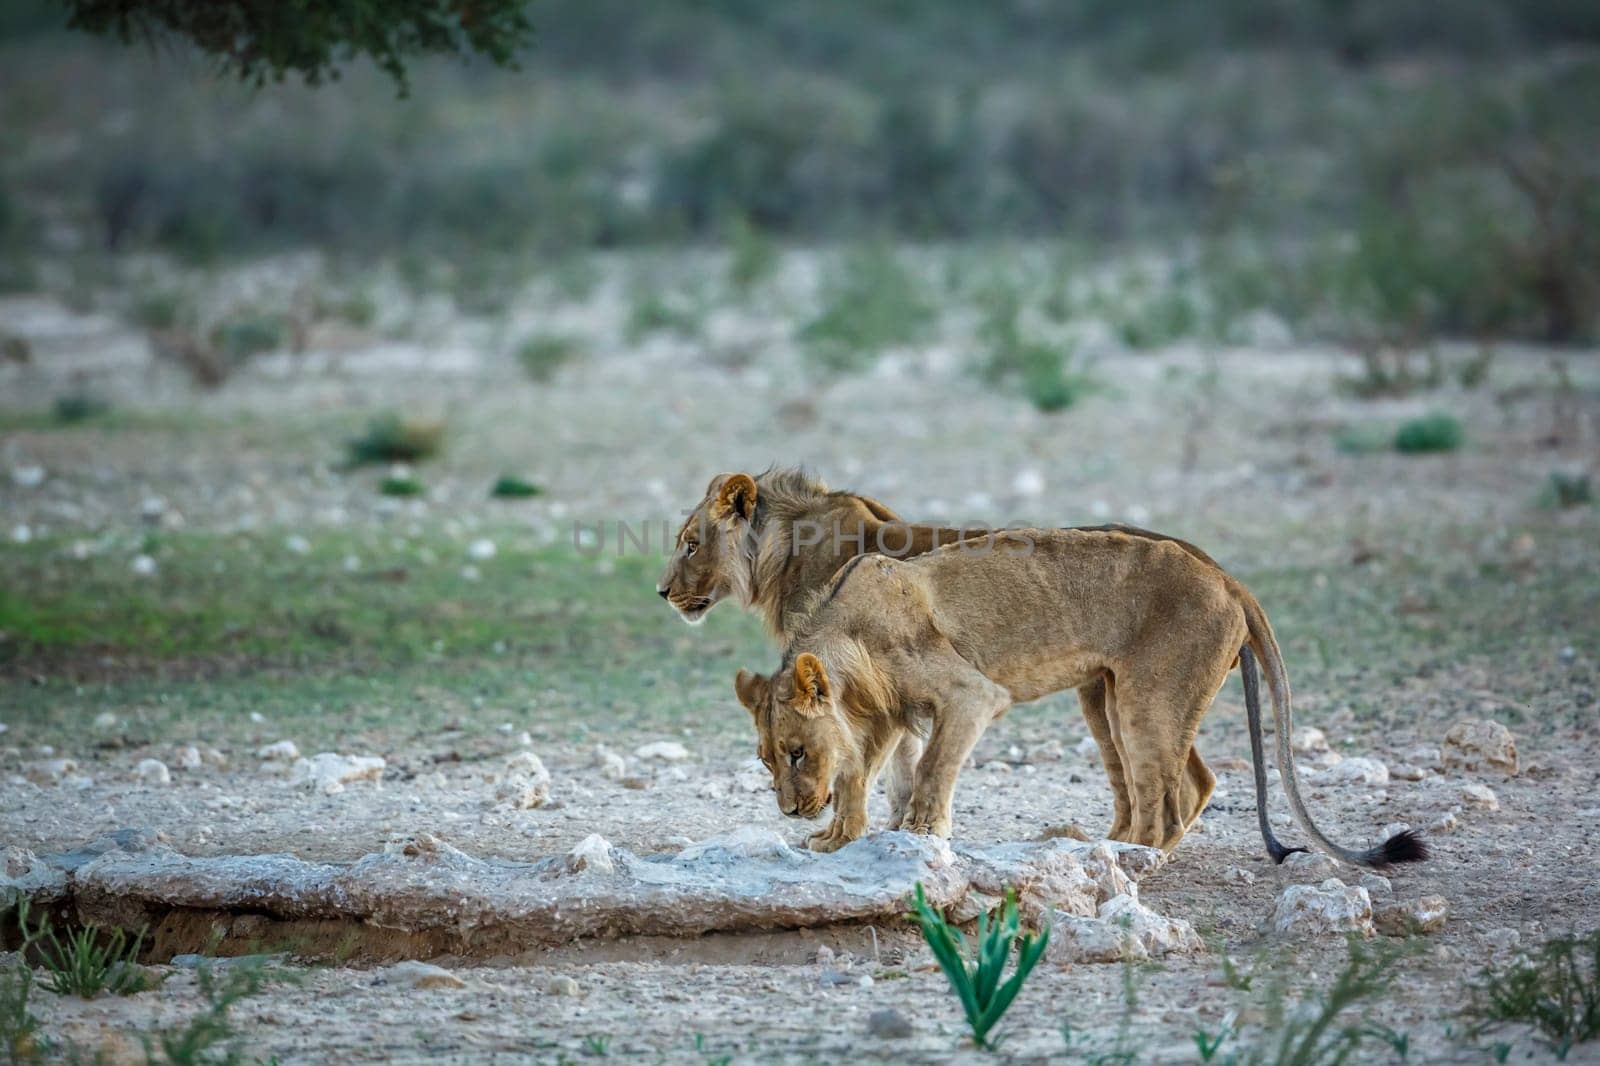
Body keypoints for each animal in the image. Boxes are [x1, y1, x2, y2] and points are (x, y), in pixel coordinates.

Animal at [732, 521, 1427, 864]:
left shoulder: (969, 693)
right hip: (1112, 698)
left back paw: (1129, 858)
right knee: (1187, 785)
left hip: (1149, 698)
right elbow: (857, 776)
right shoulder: (883, 717)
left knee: (1163, 802)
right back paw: (1113, 847)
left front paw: (924, 834)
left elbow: (930, 768)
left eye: (796, 753)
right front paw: (837, 839)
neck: (847, 634)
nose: (789, 811)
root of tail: (1228, 578)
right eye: (768, 760)